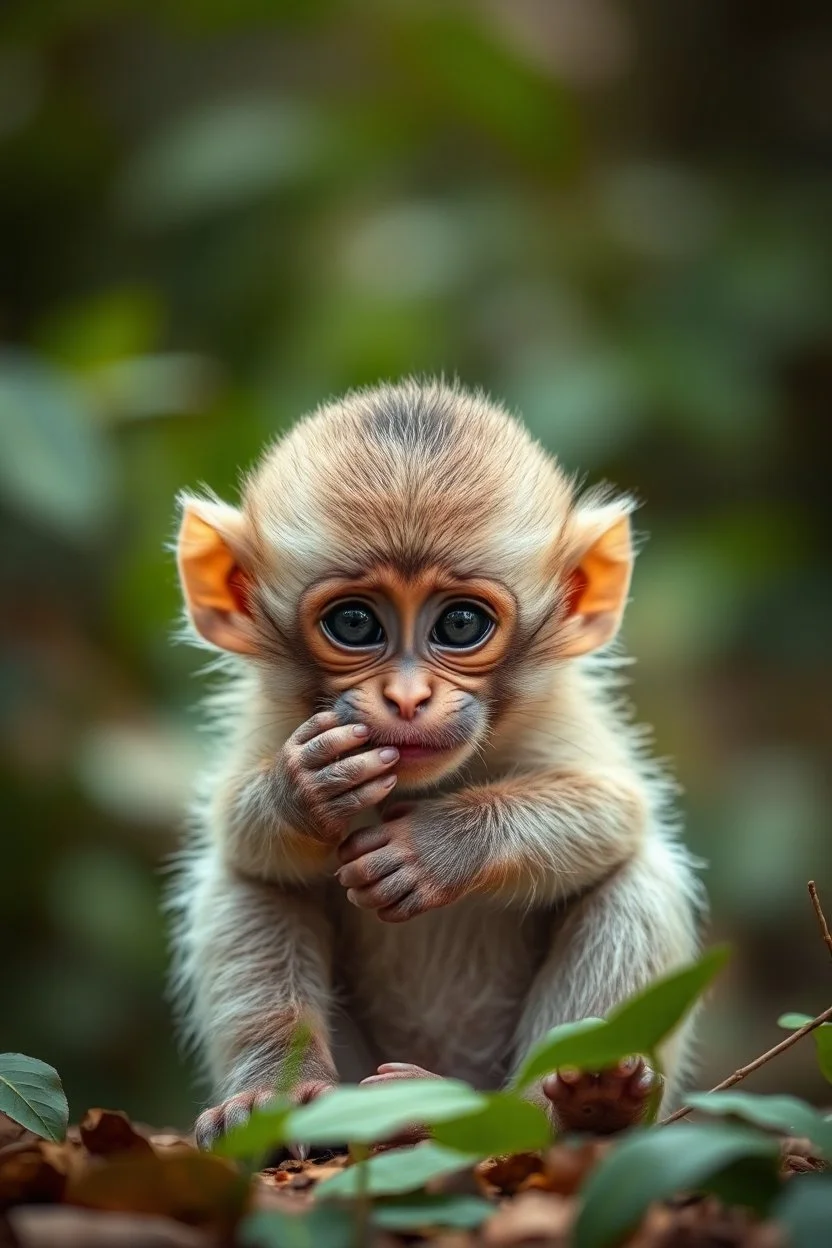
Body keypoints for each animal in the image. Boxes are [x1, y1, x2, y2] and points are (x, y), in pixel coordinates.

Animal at [170, 379, 704, 1148]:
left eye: (459, 624)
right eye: (355, 623)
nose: (407, 697)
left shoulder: (556, 712)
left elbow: (616, 809)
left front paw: (432, 849)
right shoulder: (275, 717)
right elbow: (239, 838)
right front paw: (305, 790)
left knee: (638, 874)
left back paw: (573, 1107)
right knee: (245, 882)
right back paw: (275, 1098)